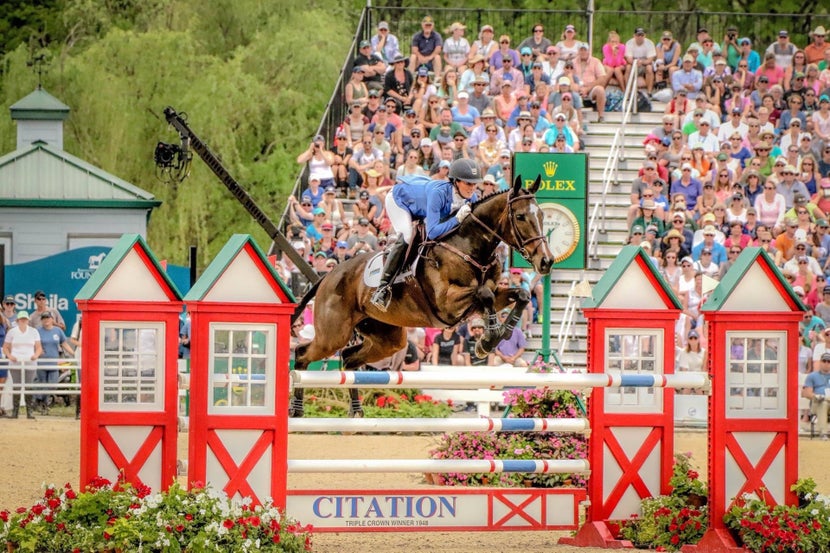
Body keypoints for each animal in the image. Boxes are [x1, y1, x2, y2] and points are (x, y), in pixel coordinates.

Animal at [290, 175, 556, 416]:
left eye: (542, 216)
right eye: (520, 216)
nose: (546, 261)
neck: (469, 246)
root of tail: (327, 276)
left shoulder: (486, 298)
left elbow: (520, 294)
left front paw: (500, 333)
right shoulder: (447, 303)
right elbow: (485, 293)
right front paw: (489, 340)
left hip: (389, 338)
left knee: (348, 357)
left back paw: (355, 411)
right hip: (334, 335)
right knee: (303, 354)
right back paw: (297, 410)